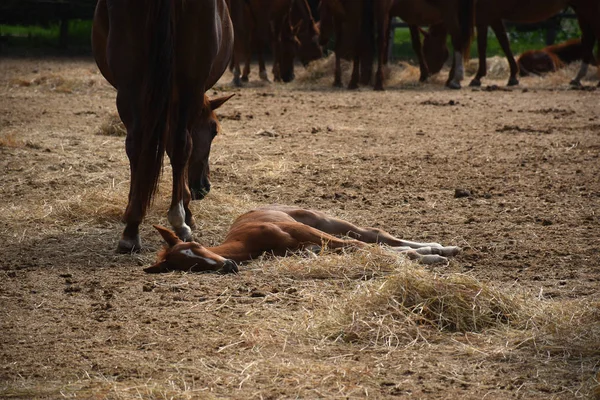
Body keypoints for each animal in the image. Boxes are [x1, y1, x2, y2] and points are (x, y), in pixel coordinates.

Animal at [92, 0, 234, 253]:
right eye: (213, 131)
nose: (204, 187)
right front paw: (188, 212)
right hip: (189, 87)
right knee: (180, 145)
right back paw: (178, 221)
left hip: (131, 85)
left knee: (137, 145)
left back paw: (132, 229)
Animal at [466, 0, 600, 87]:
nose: (594, 62)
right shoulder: (491, 16)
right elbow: (503, 43)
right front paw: (512, 77)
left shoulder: (486, 15)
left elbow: (485, 46)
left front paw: (478, 77)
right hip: (581, 8)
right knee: (589, 38)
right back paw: (578, 79)